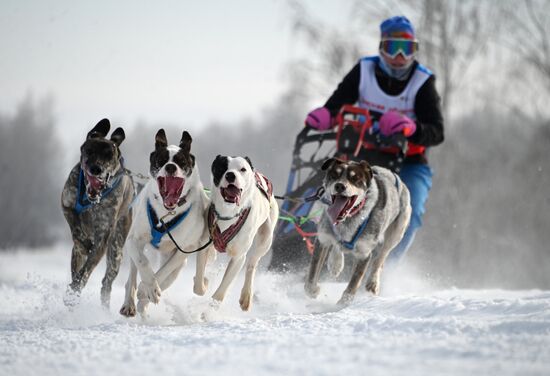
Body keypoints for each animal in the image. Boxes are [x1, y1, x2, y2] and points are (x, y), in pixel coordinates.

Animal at [61, 119, 135, 306]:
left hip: (116, 250)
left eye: (109, 155)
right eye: (90, 150)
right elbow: (76, 228)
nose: (96, 169)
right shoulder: (67, 204)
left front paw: (75, 288)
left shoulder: (103, 235)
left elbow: (86, 270)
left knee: (106, 283)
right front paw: (82, 238)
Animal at [119, 129, 212, 318]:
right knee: (132, 275)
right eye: (161, 160)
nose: (170, 167)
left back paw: (144, 299)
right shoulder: (134, 240)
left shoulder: (184, 249)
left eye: (181, 162)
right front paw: (149, 286)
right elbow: (142, 262)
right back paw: (130, 303)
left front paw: (148, 289)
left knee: (168, 276)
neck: (166, 214)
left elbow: (164, 272)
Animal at [202, 155, 280, 312]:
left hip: (266, 237)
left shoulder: (238, 257)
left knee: (252, 264)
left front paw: (210, 309)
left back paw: (246, 295)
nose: (231, 175)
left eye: (242, 169)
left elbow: (222, 288)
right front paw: (204, 281)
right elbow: (204, 265)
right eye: (222, 167)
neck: (228, 214)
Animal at [308, 157, 412, 304]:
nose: (340, 186)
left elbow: (354, 283)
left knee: (380, 258)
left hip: (395, 234)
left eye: (355, 178)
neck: (348, 219)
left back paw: (373, 282)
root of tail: (391, 173)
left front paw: (343, 303)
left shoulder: (364, 253)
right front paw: (313, 289)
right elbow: (312, 276)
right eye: (334, 175)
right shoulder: (323, 239)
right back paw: (336, 263)